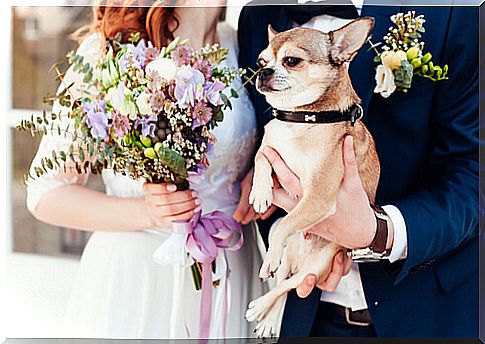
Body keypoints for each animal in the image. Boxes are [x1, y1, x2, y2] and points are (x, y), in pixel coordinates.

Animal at [246, 17, 378, 338]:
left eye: (291, 61)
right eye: (261, 61)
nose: (263, 72)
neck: (300, 119)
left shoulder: (318, 197)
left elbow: (283, 226)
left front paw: (268, 258)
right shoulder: (271, 147)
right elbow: (261, 157)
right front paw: (260, 192)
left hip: (313, 269)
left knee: (285, 286)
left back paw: (260, 306)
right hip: (292, 258)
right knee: (283, 282)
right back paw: (268, 318)